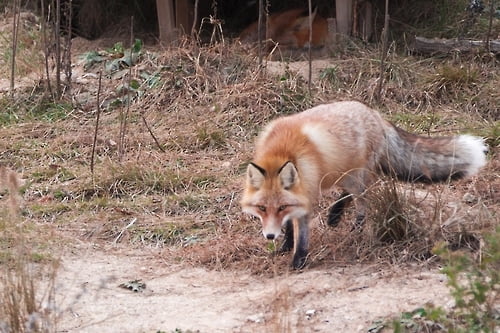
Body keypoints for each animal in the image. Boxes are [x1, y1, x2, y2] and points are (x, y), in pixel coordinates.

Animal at [240, 100, 486, 268]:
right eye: (261, 208)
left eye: (280, 207)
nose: (269, 237)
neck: (281, 151)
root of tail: (376, 115)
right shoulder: (299, 198)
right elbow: (291, 228)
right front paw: (285, 247)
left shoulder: (305, 197)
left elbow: (301, 236)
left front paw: (298, 261)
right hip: (342, 174)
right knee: (350, 194)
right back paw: (335, 215)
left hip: (355, 176)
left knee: (361, 202)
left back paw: (353, 228)